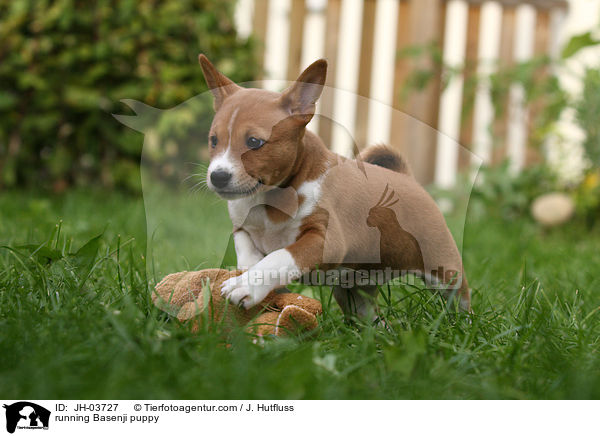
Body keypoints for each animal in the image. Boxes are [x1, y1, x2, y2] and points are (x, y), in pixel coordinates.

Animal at [199, 54, 472, 320]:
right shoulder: (242, 229)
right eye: (213, 140)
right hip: (355, 290)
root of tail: (407, 178)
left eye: (254, 142)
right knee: (371, 318)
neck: (269, 201)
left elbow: (281, 256)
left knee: (460, 299)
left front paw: (245, 285)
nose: (218, 176)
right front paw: (250, 276)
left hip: (443, 267)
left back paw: (462, 325)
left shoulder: (326, 240)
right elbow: (247, 251)